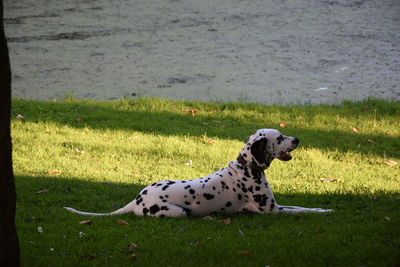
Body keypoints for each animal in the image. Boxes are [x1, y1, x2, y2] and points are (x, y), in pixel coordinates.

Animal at [65, 129, 332, 219]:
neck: (247, 168)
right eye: (279, 137)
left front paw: (324, 209)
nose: (297, 139)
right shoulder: (273, 212)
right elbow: (304, 211)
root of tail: (137, 200)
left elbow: (302, 206)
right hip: (177, 212)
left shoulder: (278, 206)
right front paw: (324, 212)